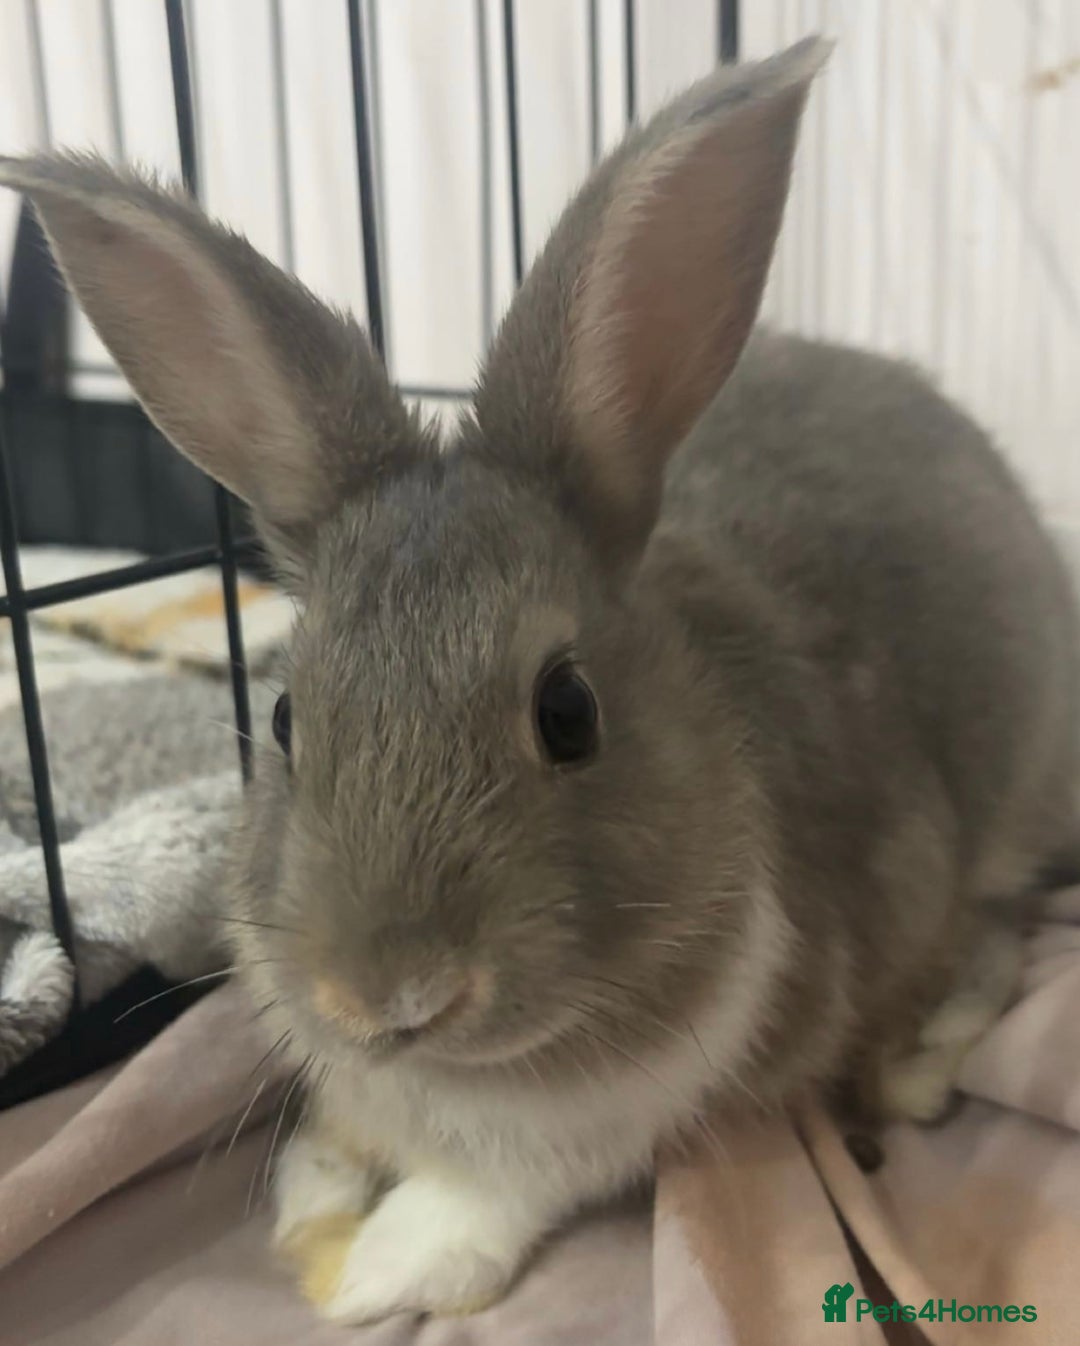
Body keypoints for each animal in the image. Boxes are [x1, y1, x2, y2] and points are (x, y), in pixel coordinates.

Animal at [4, 33, 1078, 1326]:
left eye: (569, 711)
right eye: (284, 715)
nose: (393, 993)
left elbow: (506, 1189)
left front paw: (377, 1265)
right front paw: (317, 1196)